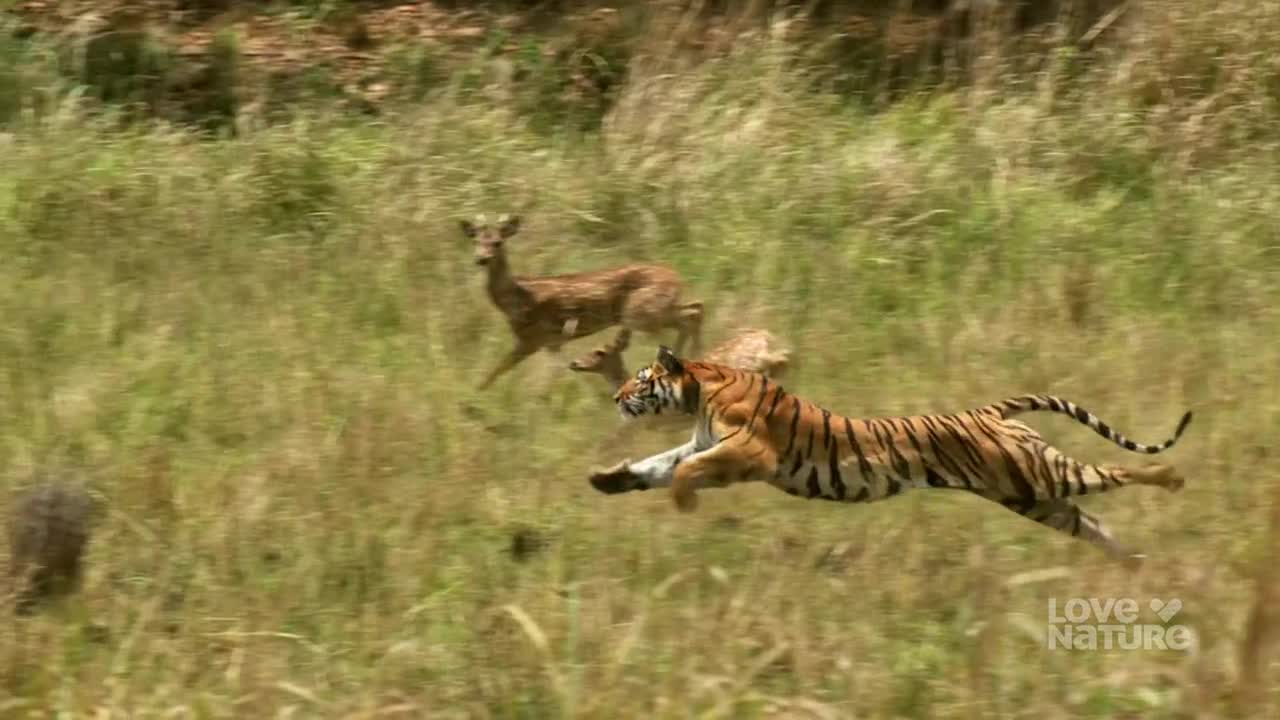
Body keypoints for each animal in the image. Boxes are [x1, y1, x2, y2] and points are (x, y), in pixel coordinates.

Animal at [464, 214, 704, 390]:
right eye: (476, 241)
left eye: (497, 242)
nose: (481, 259)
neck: (516, 297)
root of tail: (675, 276)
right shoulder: (551, 342)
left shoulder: (532, 338)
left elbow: (497, 370)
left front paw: (474, 397)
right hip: (657, 310)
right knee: (696, 308)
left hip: (643, 313)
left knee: (690, 316)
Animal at [588, 346, 1193, 567]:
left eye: (640, 379)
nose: (615, 398)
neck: (700, 389)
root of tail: (992, 410)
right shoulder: (703, 442)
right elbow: (656, 465)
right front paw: (606, 479)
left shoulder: (747, 451)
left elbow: (683, 472)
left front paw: (684, 504)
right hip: (1031, 496)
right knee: (1091, 522)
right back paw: (1134, 564)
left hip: (1042, 475)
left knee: (1118, 470)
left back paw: (1172, 478)